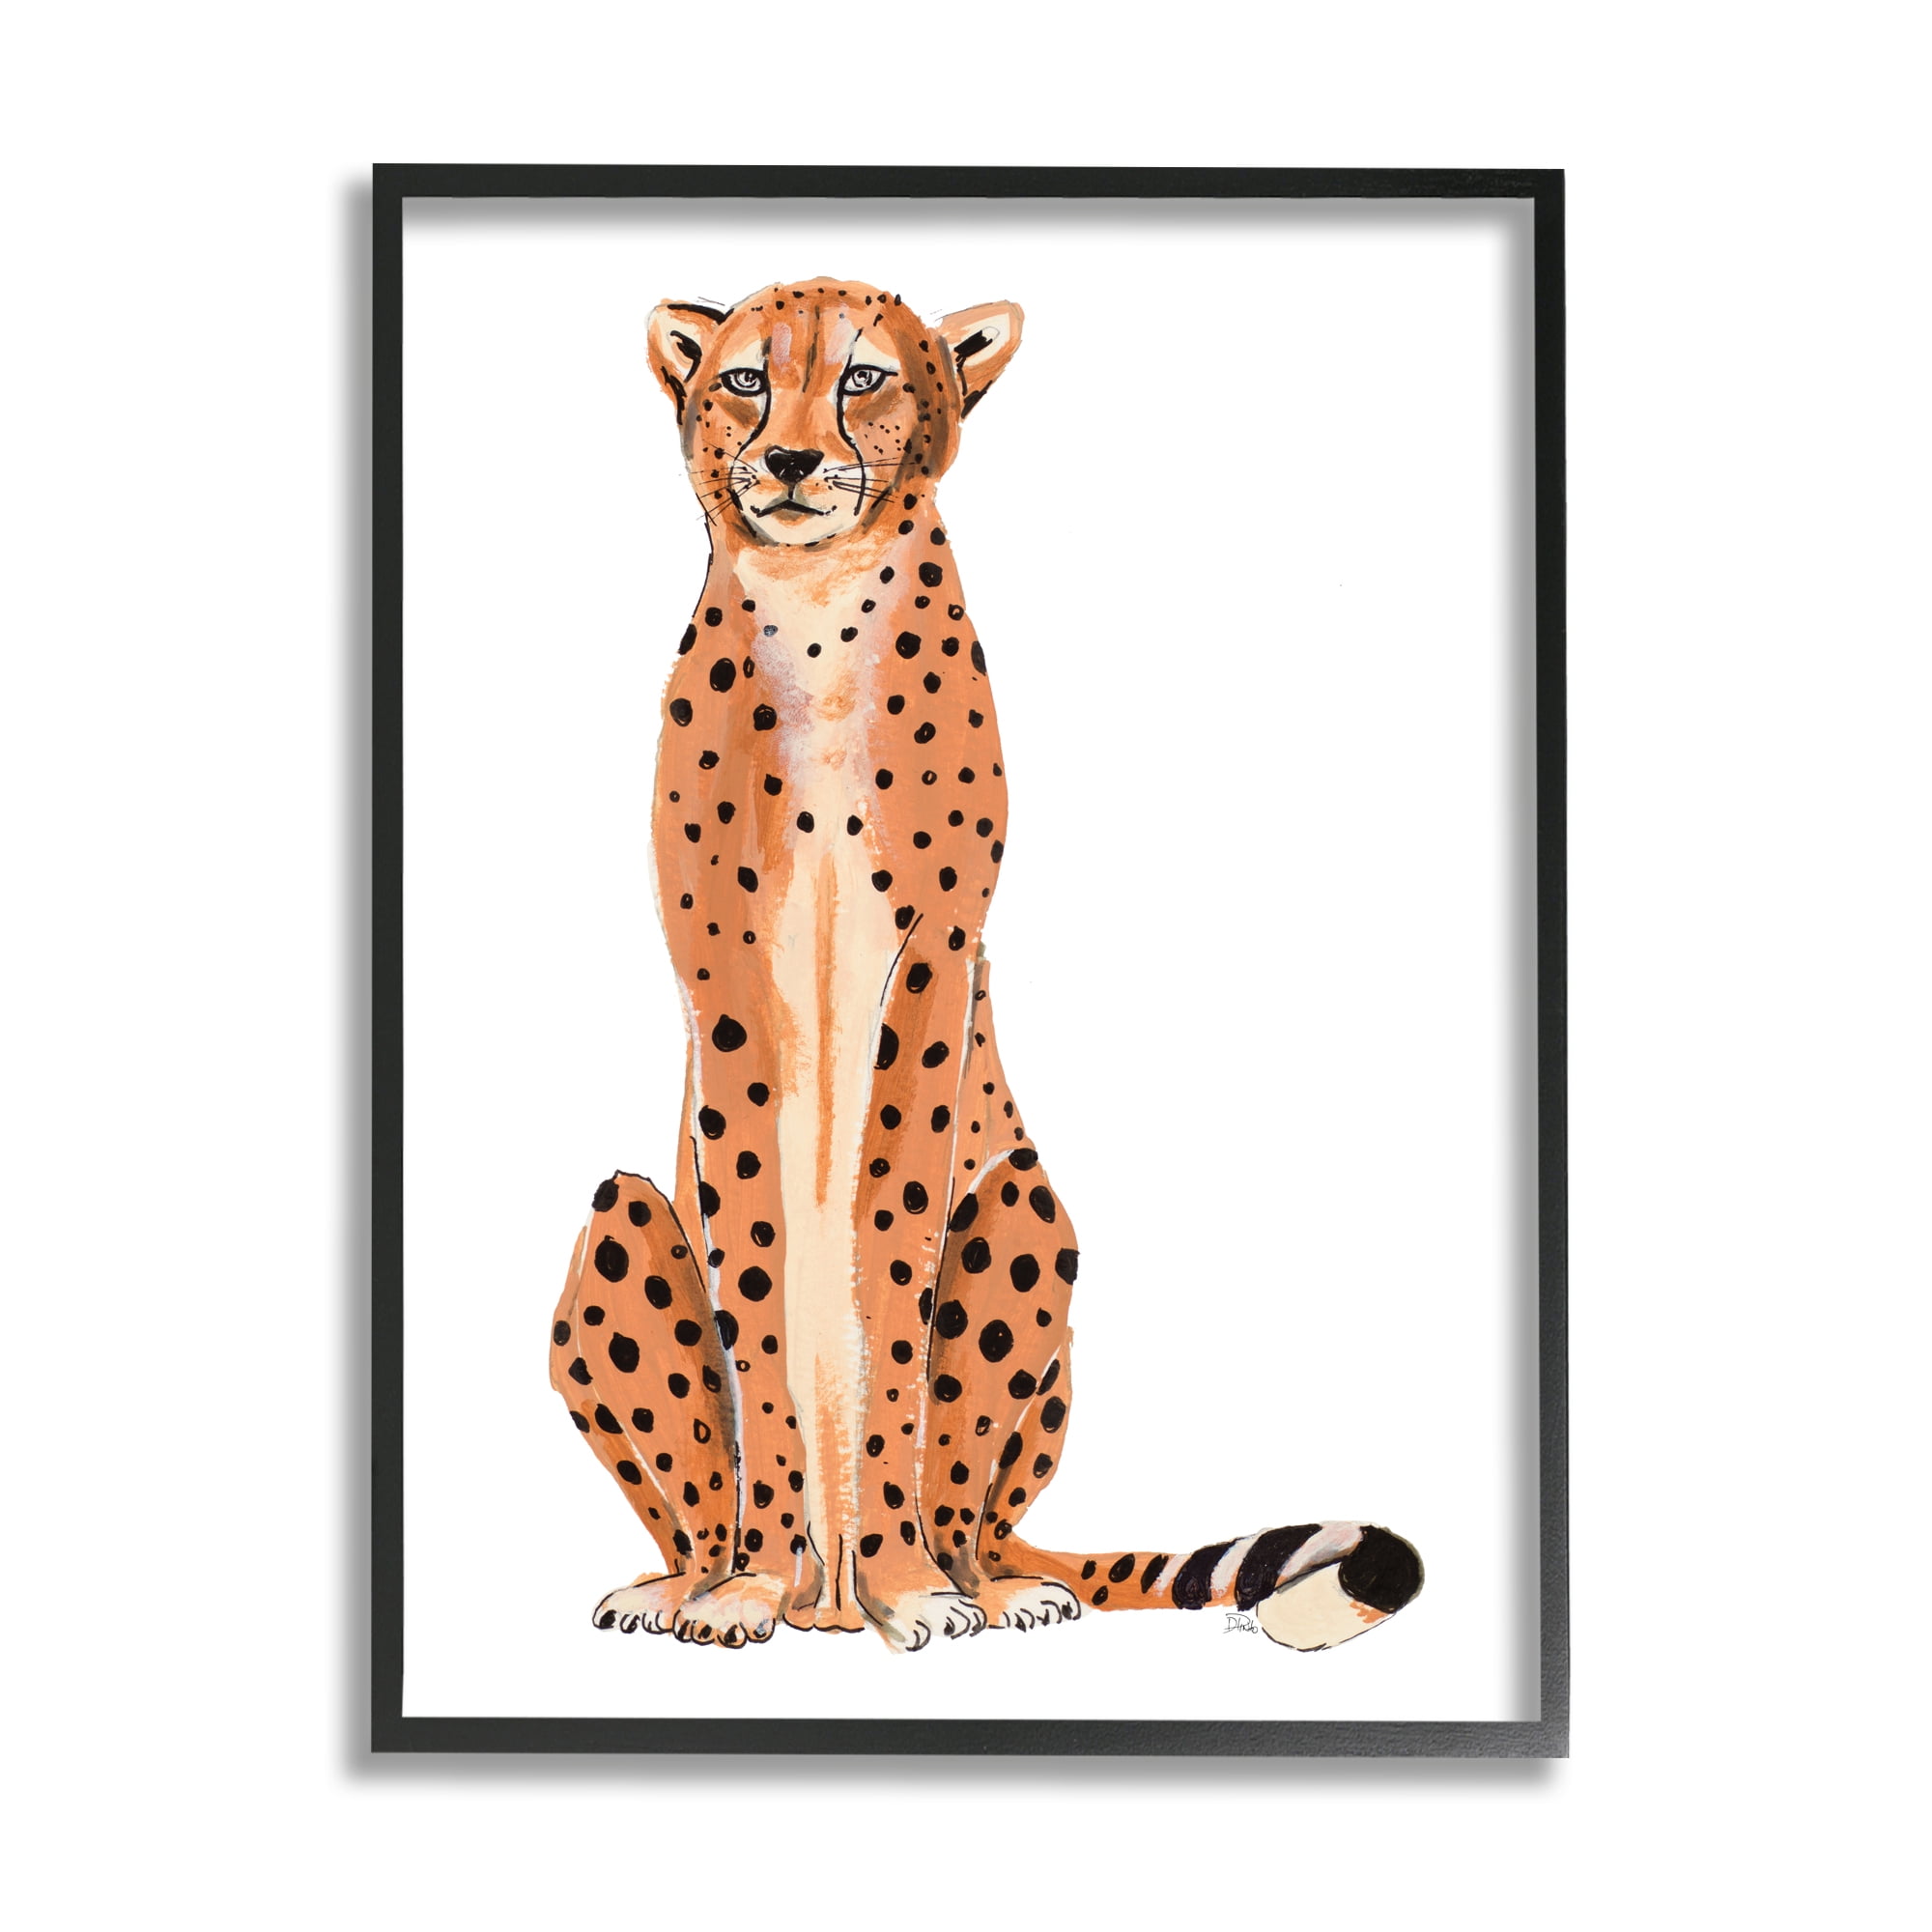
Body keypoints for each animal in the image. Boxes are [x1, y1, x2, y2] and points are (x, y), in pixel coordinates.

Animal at [548, 277, 1424, 1653]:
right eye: (745, 380)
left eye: (861, 377)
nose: (788, 459)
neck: (816, 612)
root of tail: (830, 1612)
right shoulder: (722, 991)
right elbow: (761, 1287)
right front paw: (741, 1583)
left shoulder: (934, 965)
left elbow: (892, 1279)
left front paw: (912, 1583)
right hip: (621, 1208)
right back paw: (696, 1581)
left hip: (1023, 1207)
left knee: (976, 1507)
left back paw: (978, 1583)